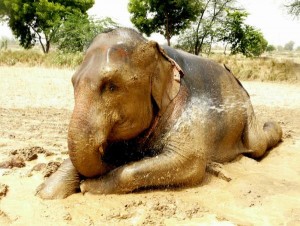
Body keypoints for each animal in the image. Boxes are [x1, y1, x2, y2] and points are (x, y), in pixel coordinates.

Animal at [36, 27, 282, 199]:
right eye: (73, 83)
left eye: (112, 86)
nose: (110, 158)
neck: (160, 52)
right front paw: (43, 191)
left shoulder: (189, 108)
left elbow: (189, 161)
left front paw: (88, 187)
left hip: (246, 110)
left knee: (258, 145)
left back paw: (274, 127)